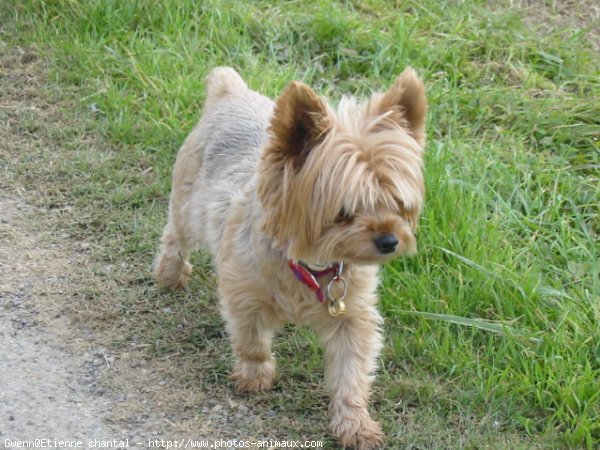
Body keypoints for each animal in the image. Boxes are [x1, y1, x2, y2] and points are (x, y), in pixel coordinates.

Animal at [155, 67, 426, 450]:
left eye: (398, 204)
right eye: (344, 211)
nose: (390, 240)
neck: (310, 265)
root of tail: (230, 90)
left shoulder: (353, 317)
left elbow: (351, 371)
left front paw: (354, 423)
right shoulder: (244, 293)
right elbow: (251, 338)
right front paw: (254, 375)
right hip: (187, 200)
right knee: (175, 235)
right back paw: (169, 274)